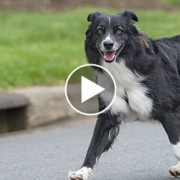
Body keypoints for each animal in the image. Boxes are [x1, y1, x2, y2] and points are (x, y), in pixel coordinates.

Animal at [68, 10, 179, 180]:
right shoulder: (107, 115)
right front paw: (81, 172)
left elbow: (176, 146)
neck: (123, 66)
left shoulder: (168, 112)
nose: (108, 44)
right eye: (99, 31)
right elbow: (93, 147)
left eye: (119, 30)